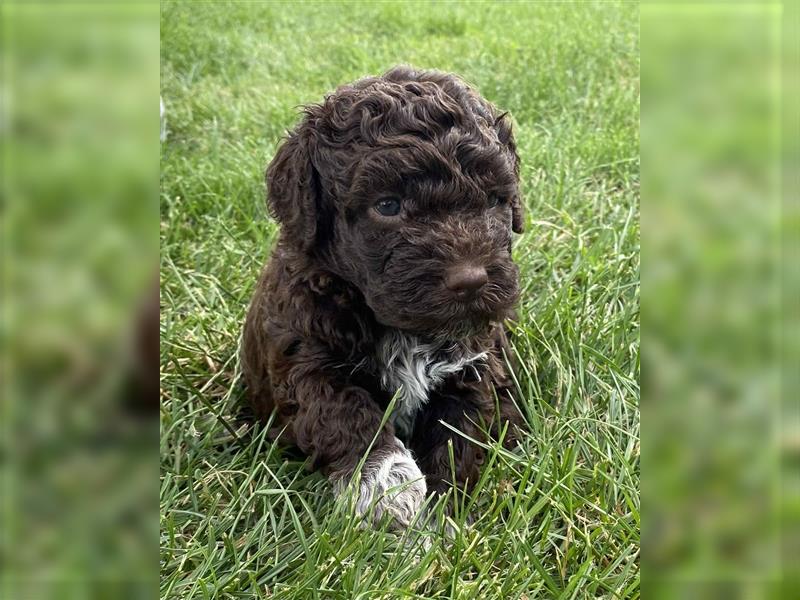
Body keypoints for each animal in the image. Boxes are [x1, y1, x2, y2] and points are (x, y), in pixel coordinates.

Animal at [241, 64, 528, 524]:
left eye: (494, 200)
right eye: (388, 206)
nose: (471, 281)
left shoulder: (475, 364)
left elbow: (460, 434)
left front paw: (443, 514)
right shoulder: (305, 359)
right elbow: (342, 413)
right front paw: (387, 486)